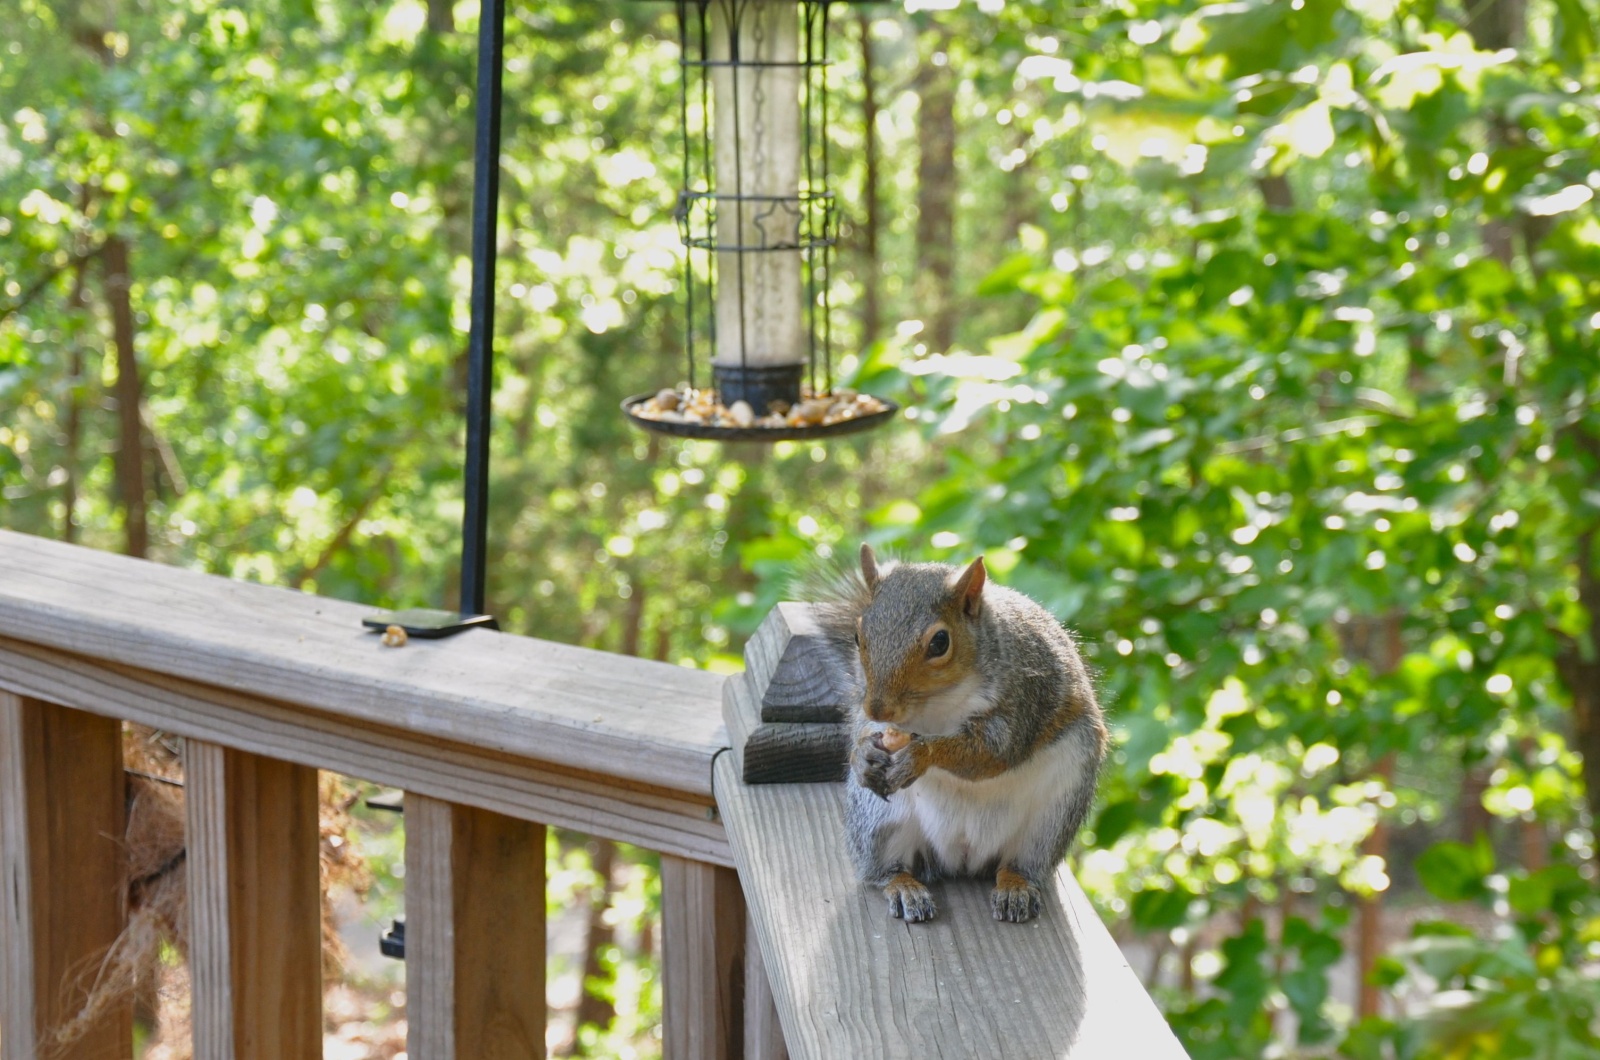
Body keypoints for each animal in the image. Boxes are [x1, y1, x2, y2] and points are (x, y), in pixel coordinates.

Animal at [819, 544, 1107, 928]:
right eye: (857, 636)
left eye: (940, 642)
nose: (880, 709)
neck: (938, 705)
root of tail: (963, 855)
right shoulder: (866, 705)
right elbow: (860, 727)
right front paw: (864, 753)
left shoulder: (1024, 697)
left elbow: (990, 753)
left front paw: (921, 755)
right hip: (878, 819)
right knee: (884, 869)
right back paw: (904, 886)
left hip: (1052, 817)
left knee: (1021, 863)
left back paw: (1015, 886)